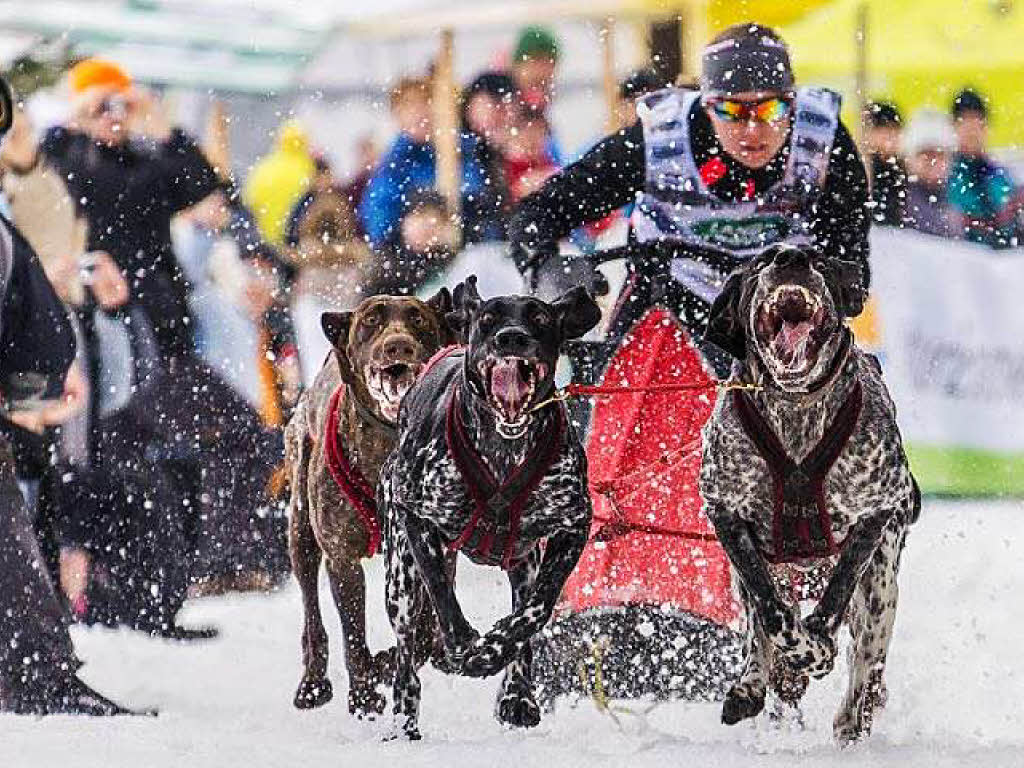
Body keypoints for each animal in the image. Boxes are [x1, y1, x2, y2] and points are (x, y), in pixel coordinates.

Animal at [286, 290, 450, 720]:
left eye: (418, 319)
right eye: (371, 322)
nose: (398, 346)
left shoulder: (436, 551)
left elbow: (424, 631)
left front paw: (389, 662)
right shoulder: (341, 558)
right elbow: (353, 633)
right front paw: (362, 694)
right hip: (301, 535)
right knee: (312, 614)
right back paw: (313, 683)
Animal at [378, 274, 598, 741]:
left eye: (540, 317)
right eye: (488, 319)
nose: (511, 336)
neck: (503, 454)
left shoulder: (572, 524)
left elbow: (536, 610)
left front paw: (496, 653)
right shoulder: (416, 516)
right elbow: (442, 592)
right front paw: (467, 646)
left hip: (523, 563)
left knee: (524, 621)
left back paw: (517, 695)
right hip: (399, 580)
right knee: (406, 652)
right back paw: (403, 720)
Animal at [696, 244, 921, 745]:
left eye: (818, 260)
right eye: (760, 263)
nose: (791, 256)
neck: (796, 409)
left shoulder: (875, 513)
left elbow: (835, 598)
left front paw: (815, 649)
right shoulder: (726, 514)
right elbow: (770, 613)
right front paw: (786, 662)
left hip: (883, 584)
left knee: (867, 658)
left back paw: (854, 714)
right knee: (759, 621)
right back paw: (757, 682)